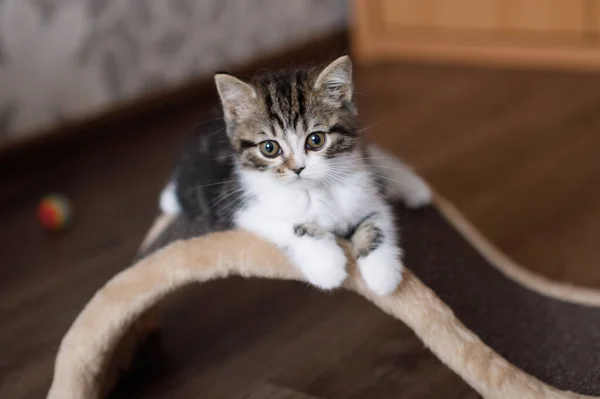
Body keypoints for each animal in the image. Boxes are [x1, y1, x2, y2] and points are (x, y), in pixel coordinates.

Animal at [162, 54, 428, 296]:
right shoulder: (242, 209)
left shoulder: (364, 190)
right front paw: (328, 265)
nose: (298, 168)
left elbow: (377, 220)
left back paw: (415, 188)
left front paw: (383, 274)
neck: (314, 190)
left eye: (316, 140)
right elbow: (291, 225)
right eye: (269, 148)